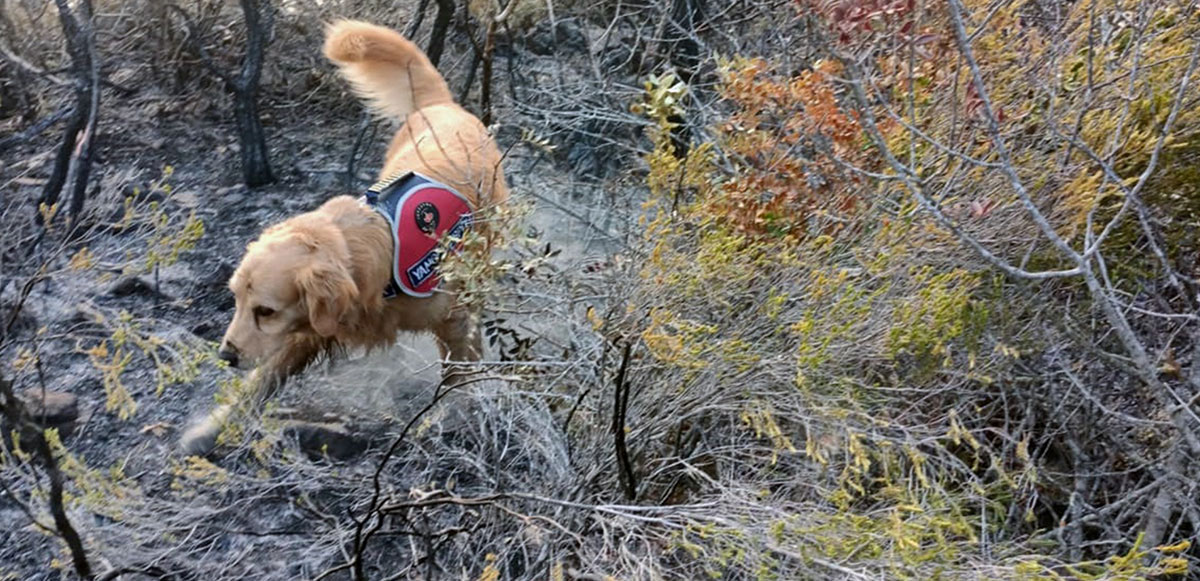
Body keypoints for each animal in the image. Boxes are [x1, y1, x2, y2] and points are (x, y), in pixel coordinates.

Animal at [180, 18, 508, 456]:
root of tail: (443, 108)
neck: (375, 261)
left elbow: (459, 375)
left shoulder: (455, 319)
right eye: (235, 300)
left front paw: (455, 415)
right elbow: (262, 381)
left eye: (265, 310)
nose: (225, 356)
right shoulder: (310, 330)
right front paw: (210, 429)